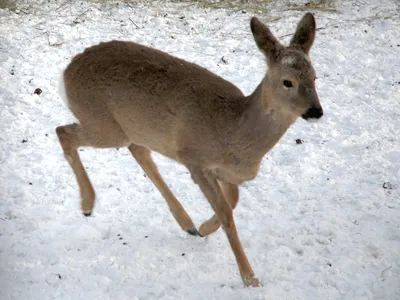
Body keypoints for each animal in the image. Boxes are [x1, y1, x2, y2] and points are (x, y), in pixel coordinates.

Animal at [56, 12, 324, 288]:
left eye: (315, 77)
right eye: (287, 82)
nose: (316, 111)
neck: (234, 131)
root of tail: (65, 73)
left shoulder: (226, 173)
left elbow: (232, 203)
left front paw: (204, 229)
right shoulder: (194, 159)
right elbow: (226, 212)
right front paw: (250, 279)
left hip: (130, 129)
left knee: (138, 151)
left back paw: (188, 224)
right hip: (103, 124)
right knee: (63, 132)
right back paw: (87, 204)